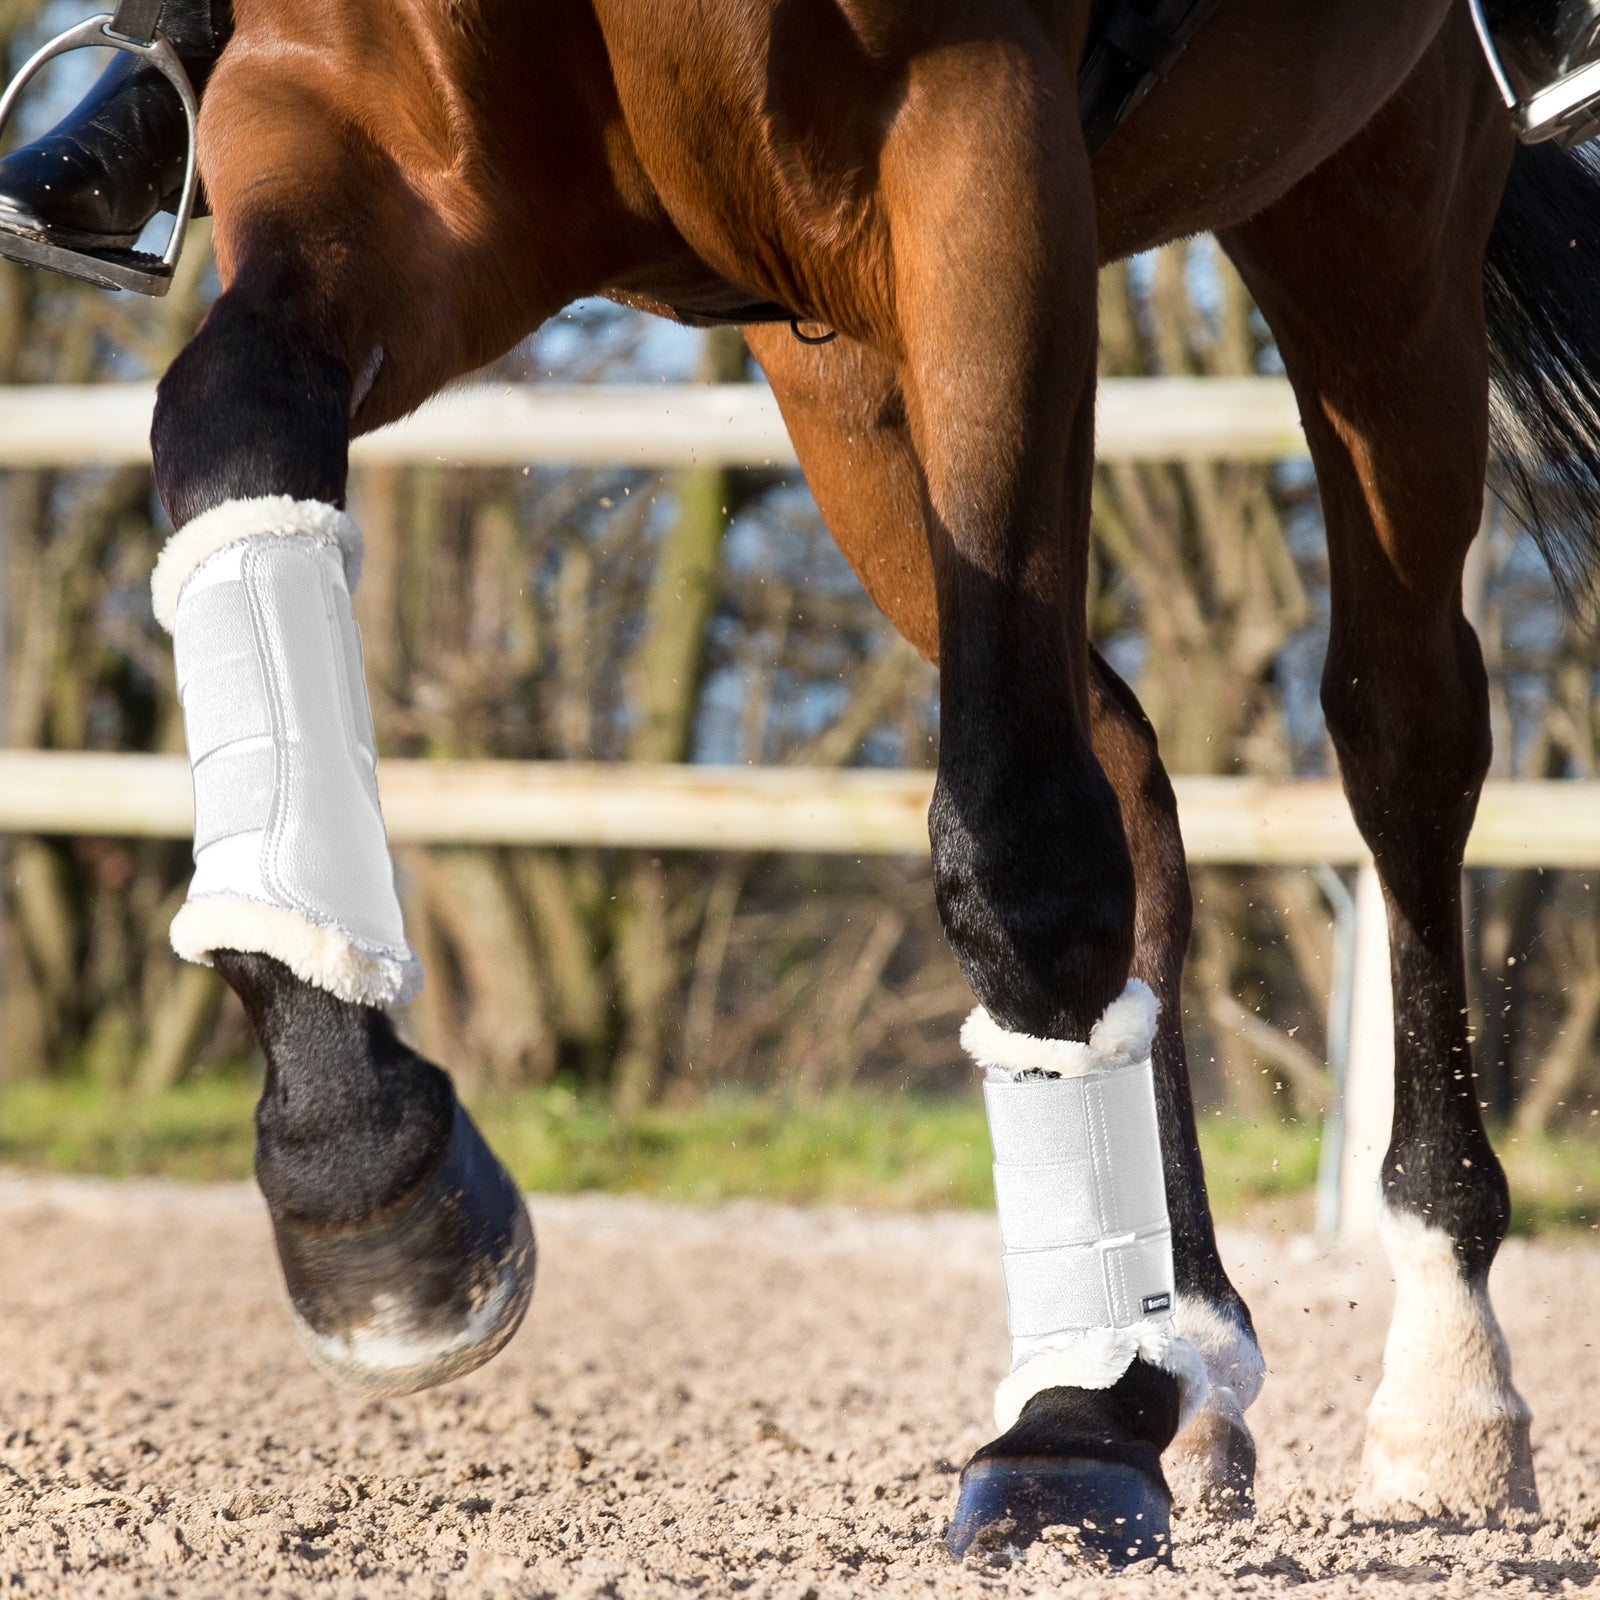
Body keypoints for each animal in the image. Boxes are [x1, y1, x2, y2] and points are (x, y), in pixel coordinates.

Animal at [126, 0, 1597, 1566]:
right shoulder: (358, 121)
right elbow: (230, 421)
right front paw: (358, 1168)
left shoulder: (972, 143)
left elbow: (1017, 835)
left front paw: (1070, 1425)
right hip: (843, 379)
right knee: (1132, 767)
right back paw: (1184, 1350)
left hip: (1375, 209)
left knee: (1401, 739)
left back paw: (1443, 1377)